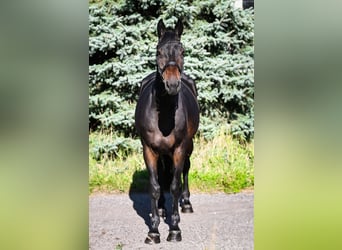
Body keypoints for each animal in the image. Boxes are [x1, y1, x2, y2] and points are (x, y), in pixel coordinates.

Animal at [134, 20, 199, 244]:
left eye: (183, 51)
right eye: (158, 51)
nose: (172, 84)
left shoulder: (180, 148)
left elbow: (175, 185)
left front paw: (175, 229)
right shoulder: (149, 149)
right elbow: (154, 186)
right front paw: (153, 231)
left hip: (189, 146)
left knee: (185, 170)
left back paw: (186, 204)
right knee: (162, 176)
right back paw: (162, 209)